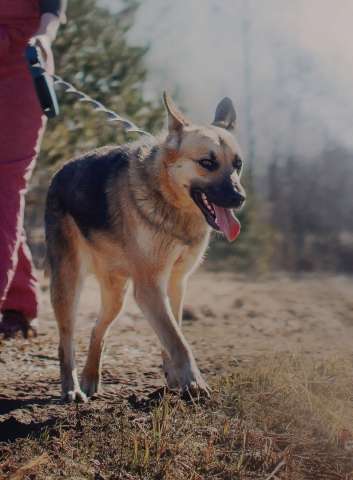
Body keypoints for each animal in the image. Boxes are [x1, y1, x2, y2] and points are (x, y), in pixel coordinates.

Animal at [44, 93, 245, 402]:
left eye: (238, 164)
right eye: (207, 162)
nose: (240, 198)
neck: (170, 201)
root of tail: (59, 171)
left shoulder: (175, 284)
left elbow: (172, 332)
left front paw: (175, 380)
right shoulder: (150, 287)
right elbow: (178, 340)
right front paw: (194, 383)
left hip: (116, 296)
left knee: (97, 329)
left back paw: (90, 379)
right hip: (68, 285)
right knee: (65, 340)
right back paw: (72, 387)